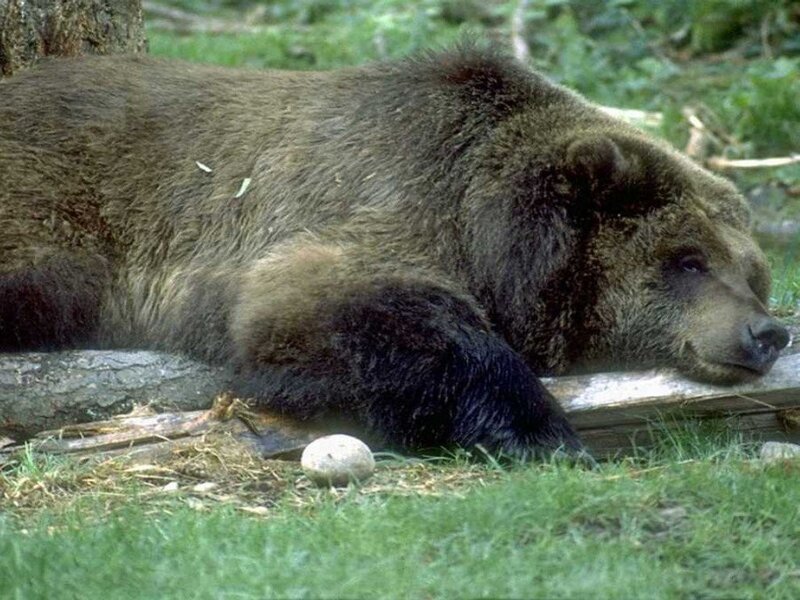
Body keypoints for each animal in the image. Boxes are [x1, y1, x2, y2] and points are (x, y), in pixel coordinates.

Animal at [0, 45, 790, 457]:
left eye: (753, 272)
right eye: (687, 259)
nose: (766, 331)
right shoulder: (376, 203)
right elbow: (357, 313)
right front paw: (542, 431)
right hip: (58, 206)